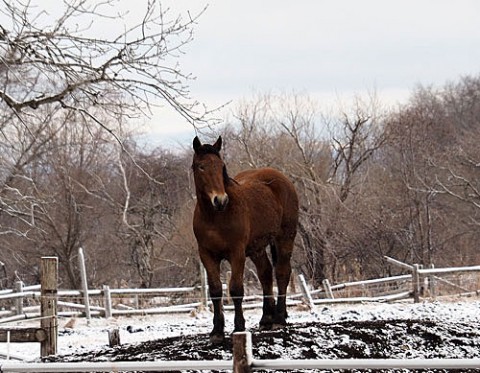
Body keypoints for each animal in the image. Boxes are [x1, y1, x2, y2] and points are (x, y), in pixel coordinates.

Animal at [192, 135, 298, 342]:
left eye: (221, 166)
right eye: (201, 166)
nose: (220, 200)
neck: (215, 216)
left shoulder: (237, 253)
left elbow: (235, 289)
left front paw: (239, 327)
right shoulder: (206, 254)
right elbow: (216, 290)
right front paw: (217, 331)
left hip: (285, 238)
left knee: (282, 272)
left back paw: (279, 318)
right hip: (257, 248)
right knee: (265, 274)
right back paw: (266, 318)